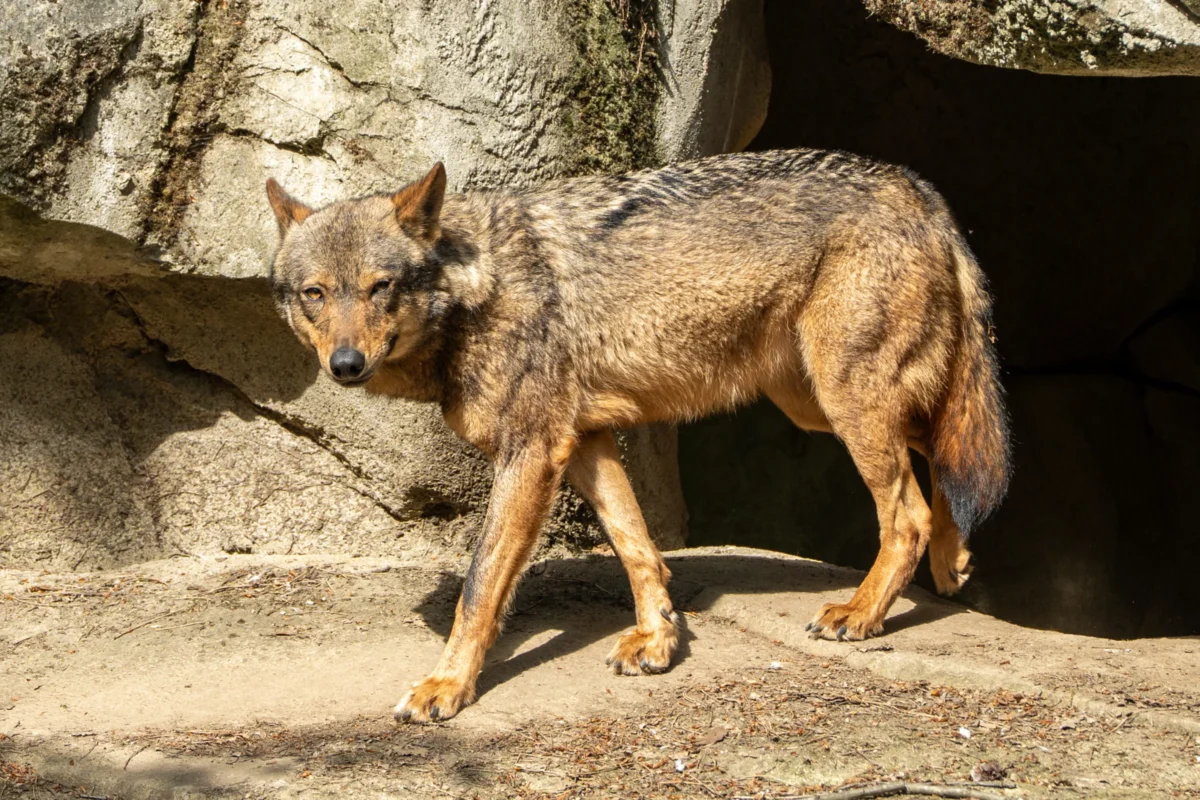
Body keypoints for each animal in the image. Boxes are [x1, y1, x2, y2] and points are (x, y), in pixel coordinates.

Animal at [265, 148, 1011, 723]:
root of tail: (916, 186)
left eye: (380, 287)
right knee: (946, 453)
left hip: (844, 402)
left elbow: (479, 589)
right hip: (818, 404)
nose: (346, 364)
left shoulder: (532, 451)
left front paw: (447, 686)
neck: (477, 287)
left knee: (909, 510)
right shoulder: (586, 441)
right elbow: (638, 547)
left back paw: (861, 611)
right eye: (315, 294)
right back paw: (953, 562)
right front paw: (658, 641)